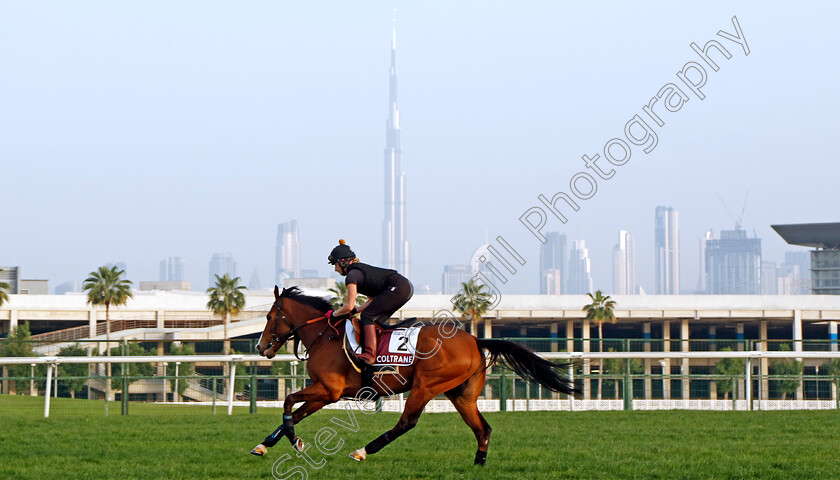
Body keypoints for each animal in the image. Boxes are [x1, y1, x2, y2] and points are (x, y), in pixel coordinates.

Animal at [253, 284, 576, 464]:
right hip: (461, 394)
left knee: (406, 422)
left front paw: (295, 441)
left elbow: (288, 404)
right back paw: (479, 463)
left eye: (269, 316)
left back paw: (362, 451)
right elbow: (295, 413)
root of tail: (474, 339)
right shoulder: (325, 393)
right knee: (482, 428)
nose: (260, 347)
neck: (324, 335)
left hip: (425, 386)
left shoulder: (328, 391)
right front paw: (265, 444)